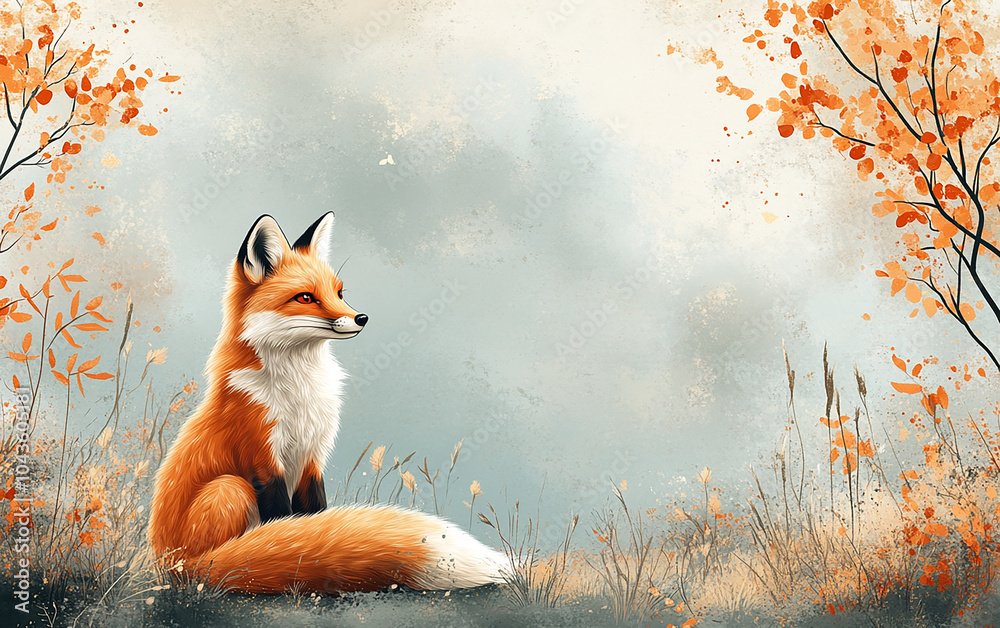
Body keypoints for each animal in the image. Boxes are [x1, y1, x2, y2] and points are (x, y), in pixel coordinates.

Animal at [148, 212, 507, 593]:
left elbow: (315, 515)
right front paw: (290, 545)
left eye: (339, 292)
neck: (299, 393)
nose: (362, 318)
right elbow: (284, 522)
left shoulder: (312, 456)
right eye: (305, 297)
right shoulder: (263, 459)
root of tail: (170, 564)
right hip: (229, 488)